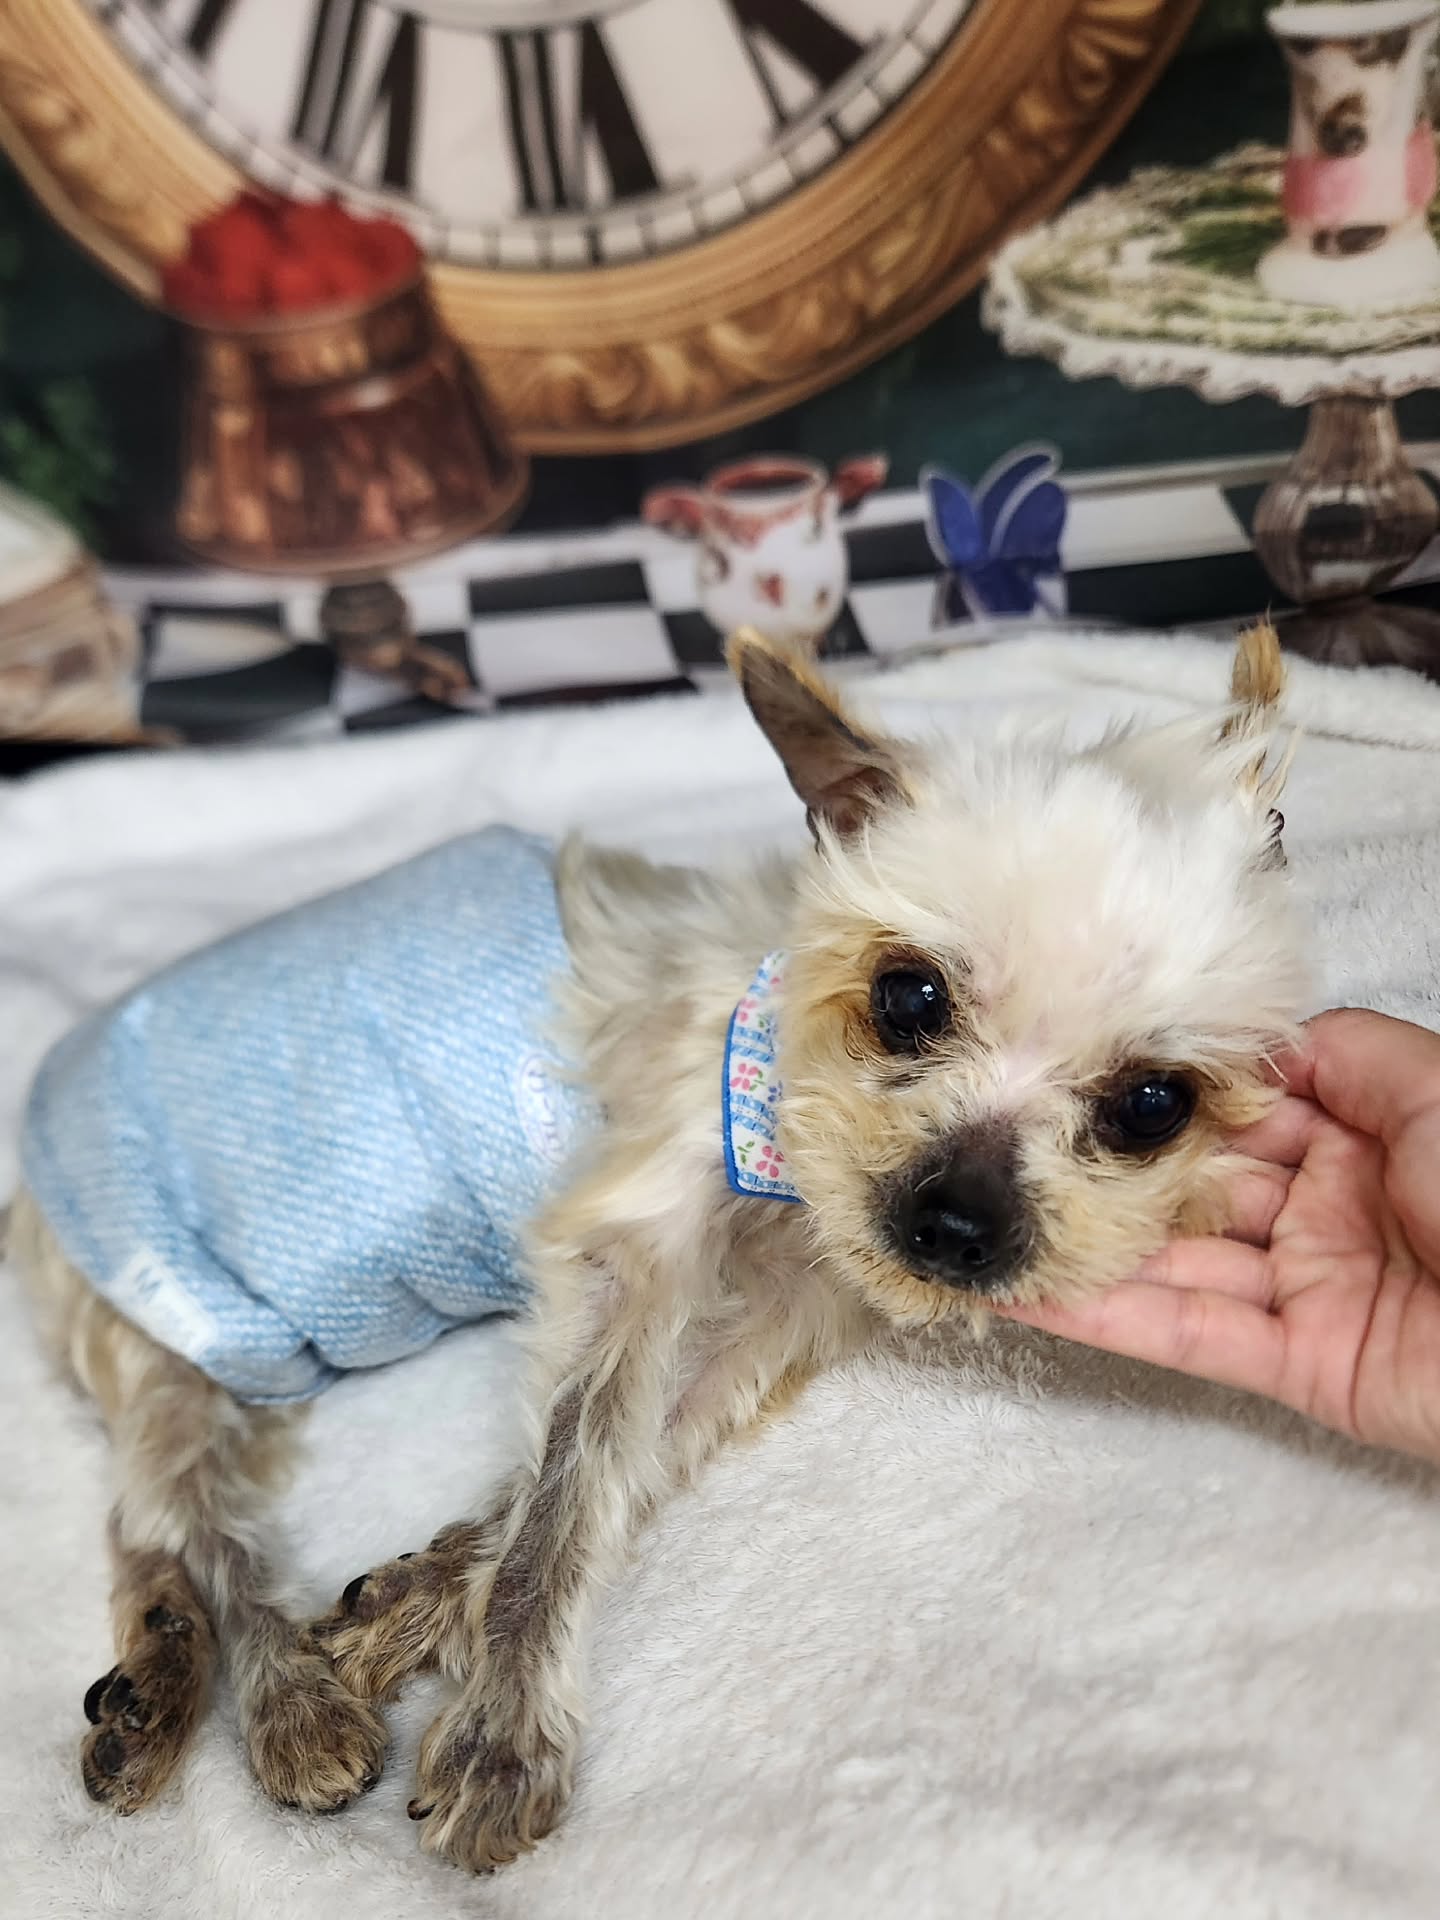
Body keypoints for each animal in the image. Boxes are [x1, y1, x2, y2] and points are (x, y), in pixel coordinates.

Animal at [10, 622, 1305, 1871]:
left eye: (1152, 1106)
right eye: (909, 998)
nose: (952, 1228)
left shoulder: (772, 1320)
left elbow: (588, 1477)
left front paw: (420, 1603)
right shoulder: (636, 1240)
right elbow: (564, 1493)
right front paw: (500, 1736)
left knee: (141, 1522)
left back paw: (151, 1689)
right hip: (182, 1306)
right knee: (202, 1531)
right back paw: (283, 1699)